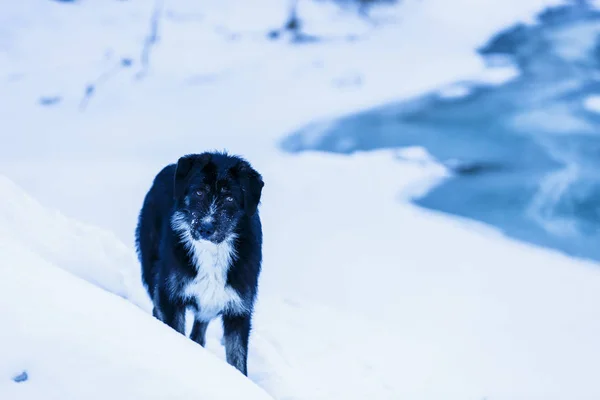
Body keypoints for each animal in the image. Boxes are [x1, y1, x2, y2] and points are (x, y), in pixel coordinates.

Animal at [137, 150, 266, 376]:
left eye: (230, 197)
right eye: (198, 192)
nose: (205, 228)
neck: (211, 253)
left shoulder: (238, 311)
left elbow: (238, 362)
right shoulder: (171, 298)